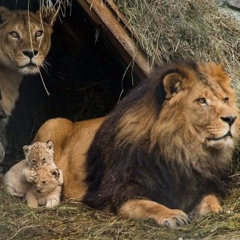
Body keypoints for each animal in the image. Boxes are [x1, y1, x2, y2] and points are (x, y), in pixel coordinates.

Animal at [33, 60, 238, 227]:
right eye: (201, 100)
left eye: (225, 99)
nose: (232, 118)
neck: (182, 150)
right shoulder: (119, 193)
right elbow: (149, 205)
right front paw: (172, 215)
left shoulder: (204, 185)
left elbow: (210, 199)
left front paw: (216, 211)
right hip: (53, 122)